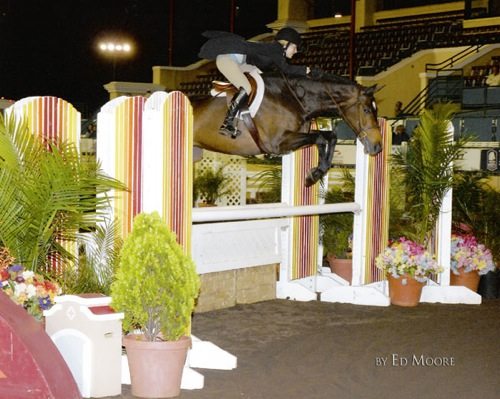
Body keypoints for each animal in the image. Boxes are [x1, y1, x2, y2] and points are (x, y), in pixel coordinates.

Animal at [191, 72, 382, 188]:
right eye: (366, 110)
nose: (377, 146)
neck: (295, 99)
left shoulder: (295, 138)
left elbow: (330, 136)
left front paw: (317, 172)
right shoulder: (277, 144)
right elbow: (321, 138)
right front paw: (313, 175)